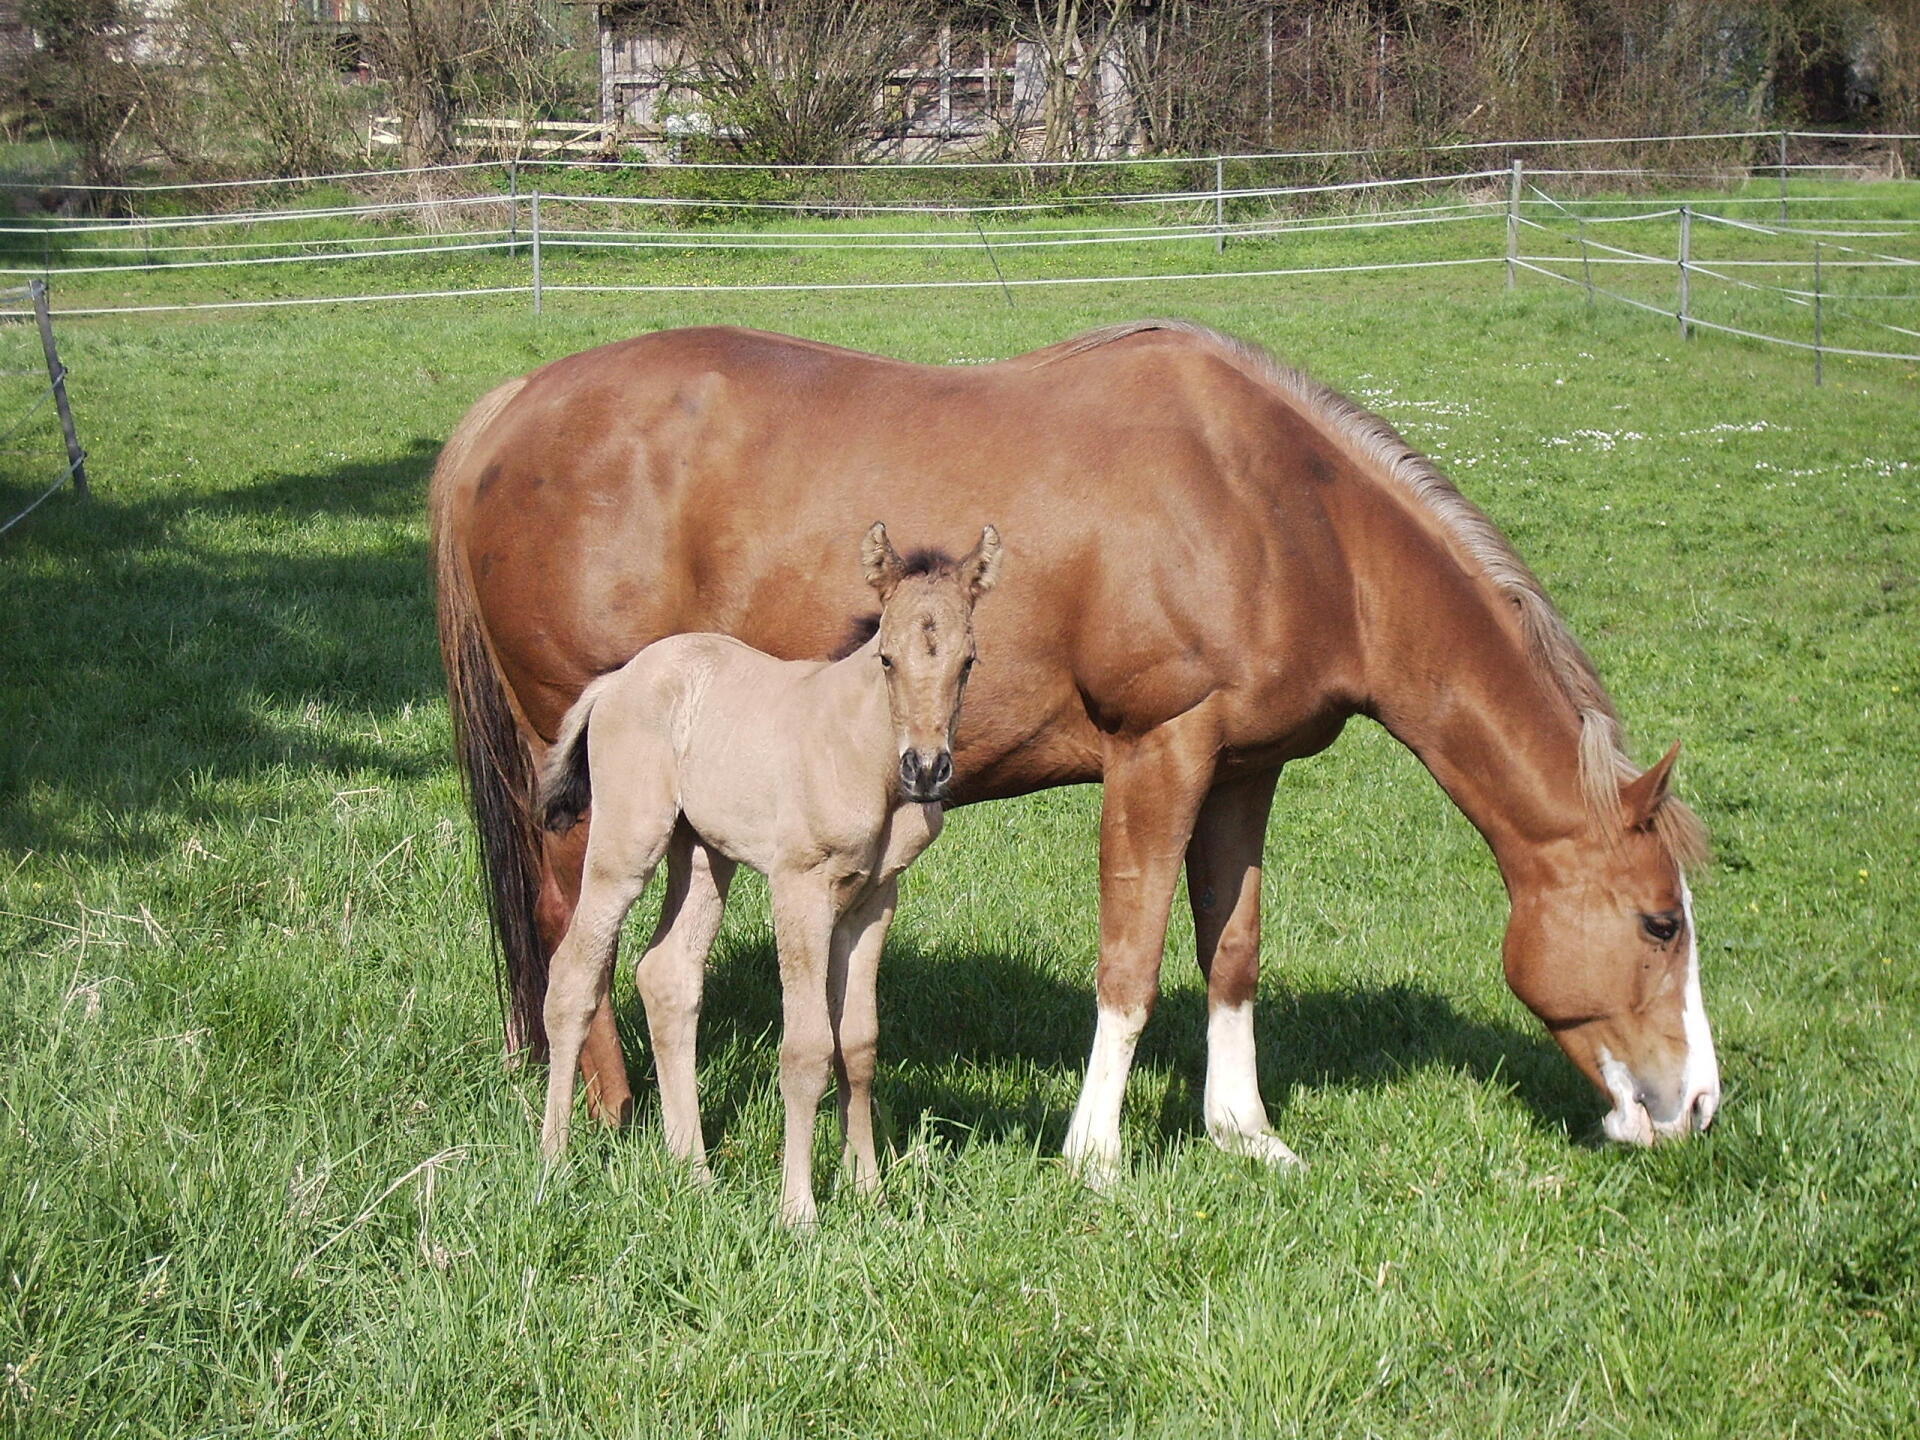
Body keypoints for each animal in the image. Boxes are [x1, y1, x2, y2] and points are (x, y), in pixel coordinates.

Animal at [531, 523, 1001, 1224]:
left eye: (967, 661)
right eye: (886, 658)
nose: (925, 768)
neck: (862, 751)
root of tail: (614, 681)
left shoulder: (873, 899)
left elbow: (858, 1044)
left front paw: (869, 1193)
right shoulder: (799, 887)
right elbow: (807, 1048)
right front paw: (799, 1210)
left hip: (703, 852)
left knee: (667, 973)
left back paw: (693, 1172)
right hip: (627, 844)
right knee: (573, 974)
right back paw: (554, 1161)